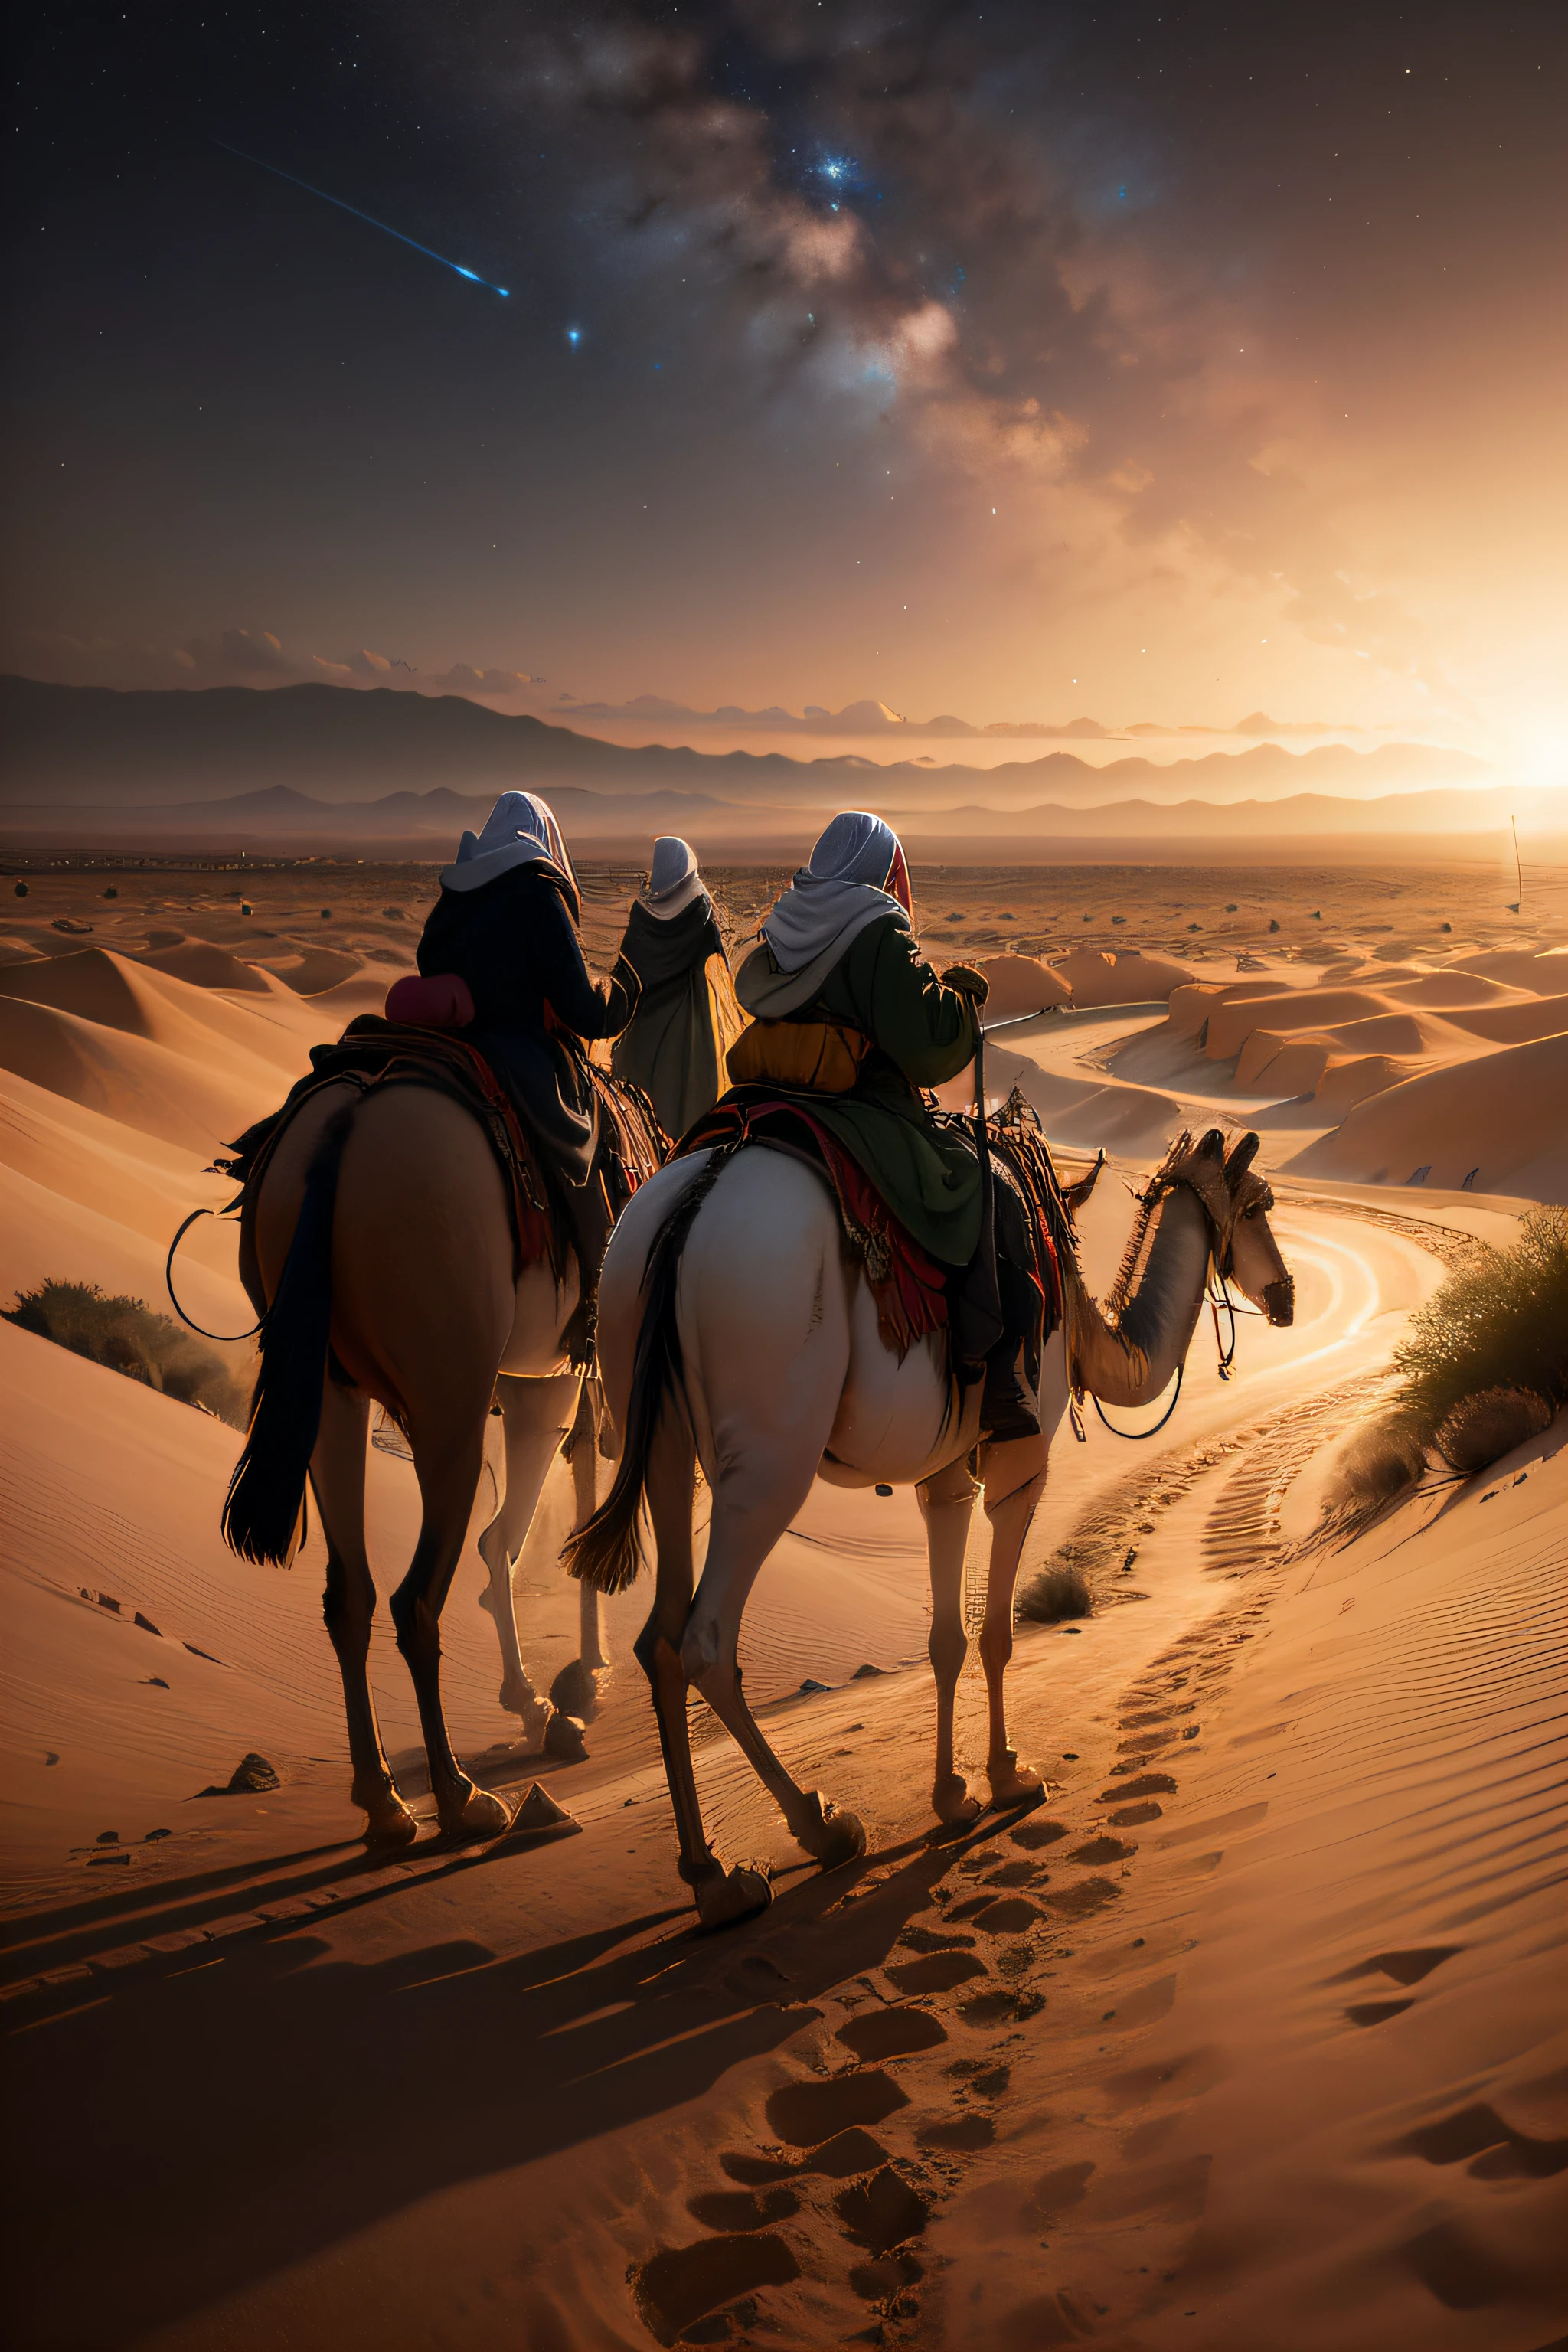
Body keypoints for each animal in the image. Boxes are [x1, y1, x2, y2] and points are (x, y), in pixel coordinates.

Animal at [223, 1086, 620, 1853]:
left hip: (328, 1385)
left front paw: (553, 1691)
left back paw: (383, 1802)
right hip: (450, 1394)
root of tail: (342, 1128)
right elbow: (521, 1530)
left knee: (350, 1593)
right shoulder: (557, 1373)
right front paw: (563, 1690)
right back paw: (461, 1798)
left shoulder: (545, 1376)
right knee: (416, 1597)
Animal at [571, 1124, 1297, 1929]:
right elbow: (998, 1632)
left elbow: (946, 1639)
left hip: (656, 1419)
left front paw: (952, 1795)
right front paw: (1010, 1776)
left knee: (661, 1635)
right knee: (706, 1640)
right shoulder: (1020, 1462)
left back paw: (713, 1877)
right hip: (769, 1447)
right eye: (1258, 1204)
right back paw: (823, 1829)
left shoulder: (944, 1474)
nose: (1286, 1295)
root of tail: (690, 1209)